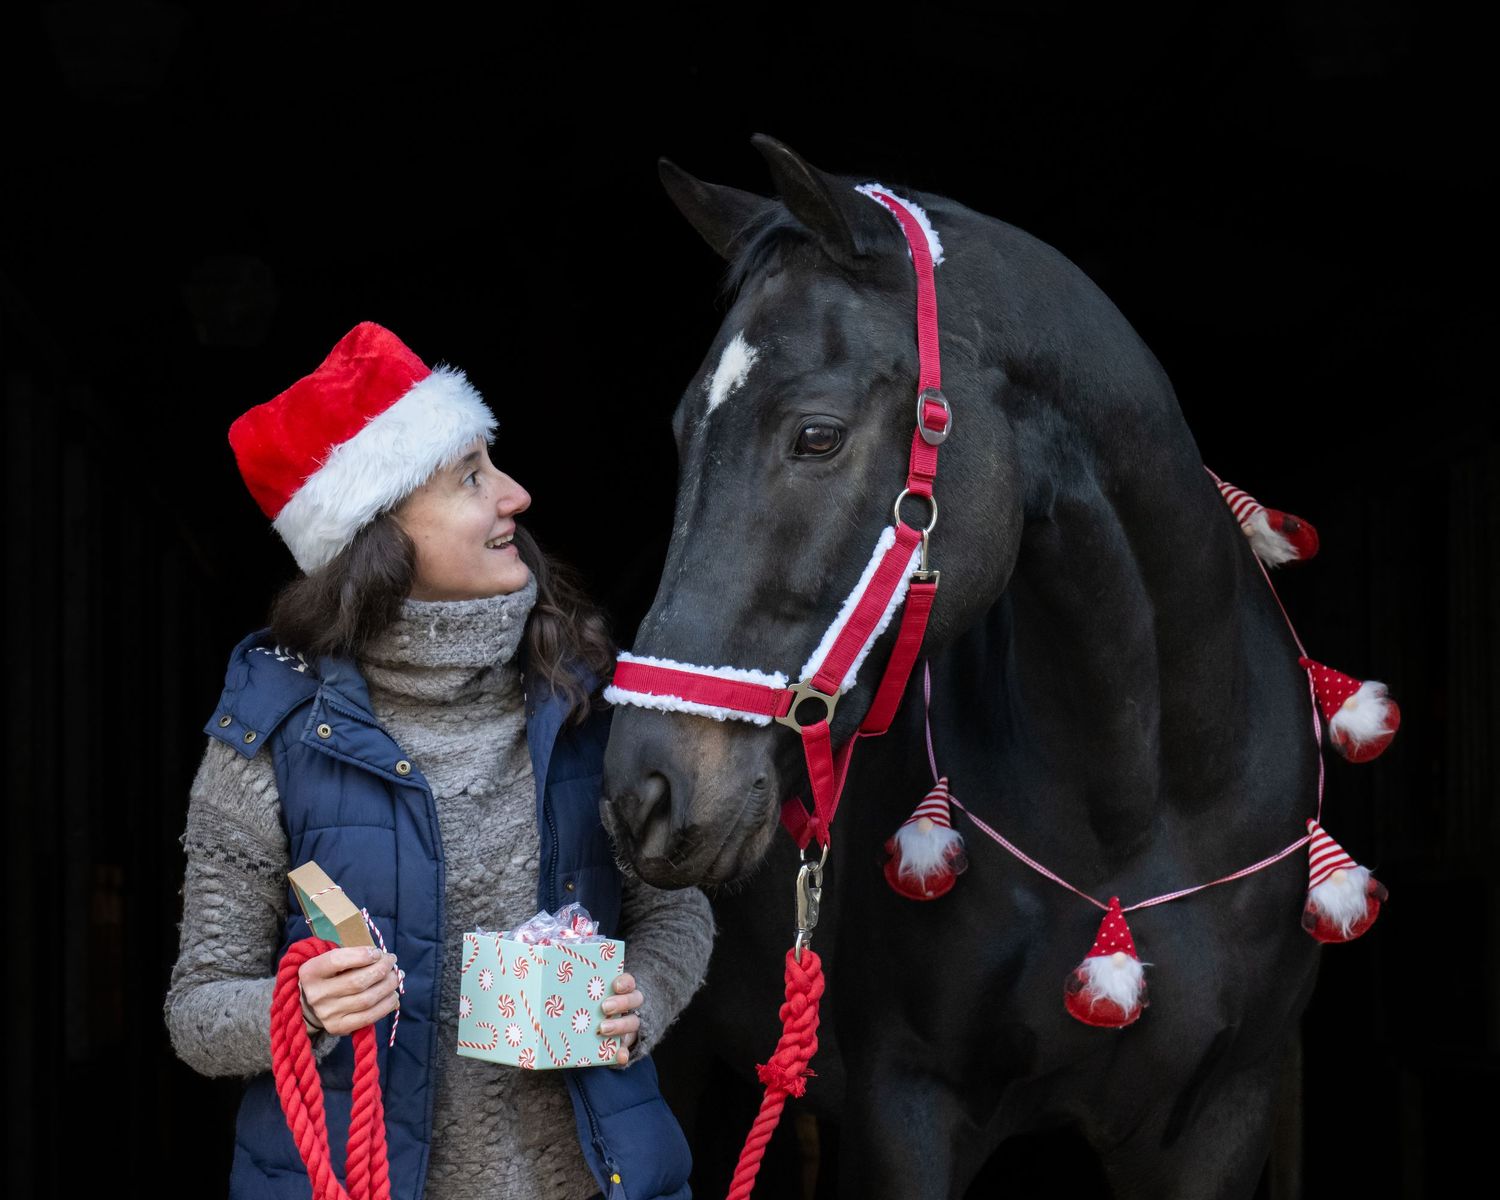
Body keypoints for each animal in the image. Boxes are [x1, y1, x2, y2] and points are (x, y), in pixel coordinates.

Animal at [600, 135, 1322, 1199]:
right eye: (684, 432)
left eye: (816, 433)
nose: (643, 790)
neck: (1141, 807)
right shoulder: (907, 1107)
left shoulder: (1225, 1114)